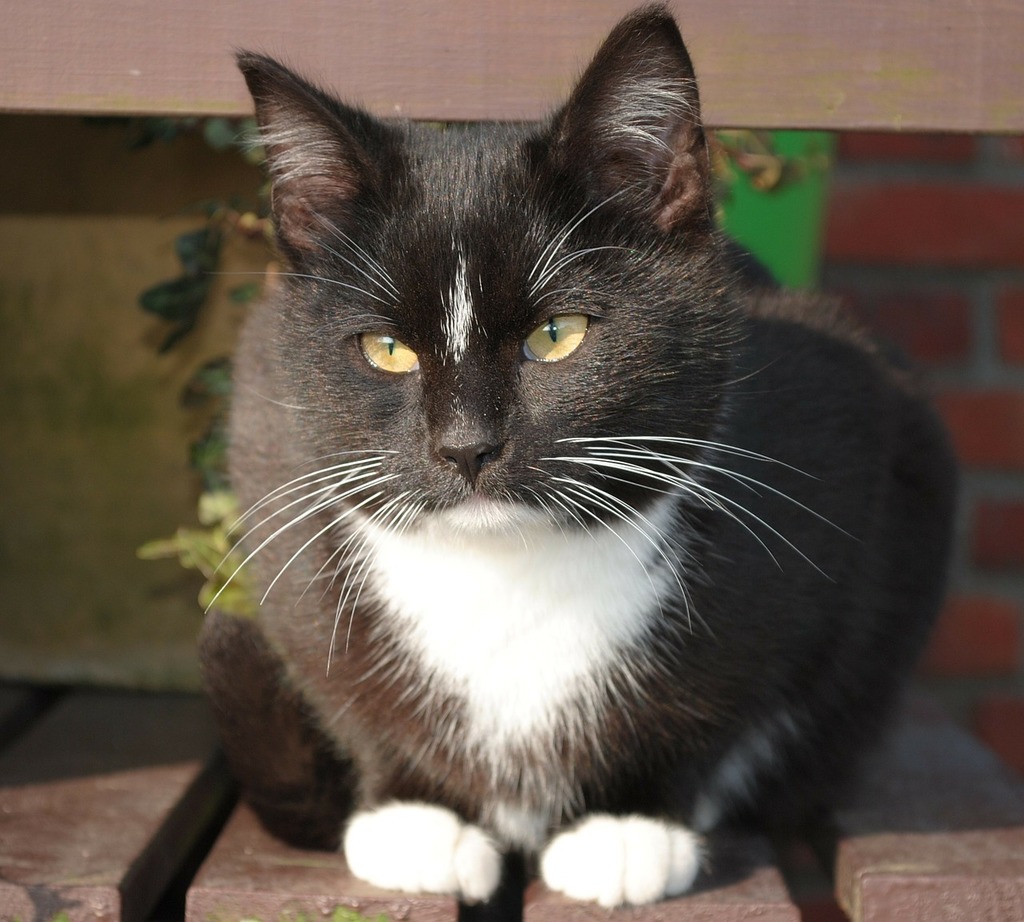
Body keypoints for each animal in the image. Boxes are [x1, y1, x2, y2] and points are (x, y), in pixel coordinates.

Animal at [199, 3, 958, 909]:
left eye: (557, 335)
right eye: (387, 350)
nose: (465, 445)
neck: (506, 571)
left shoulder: (843, 435)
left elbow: (730, 689)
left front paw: (629, 827)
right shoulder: (272, 447)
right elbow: (336, 674)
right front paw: (419, 815)